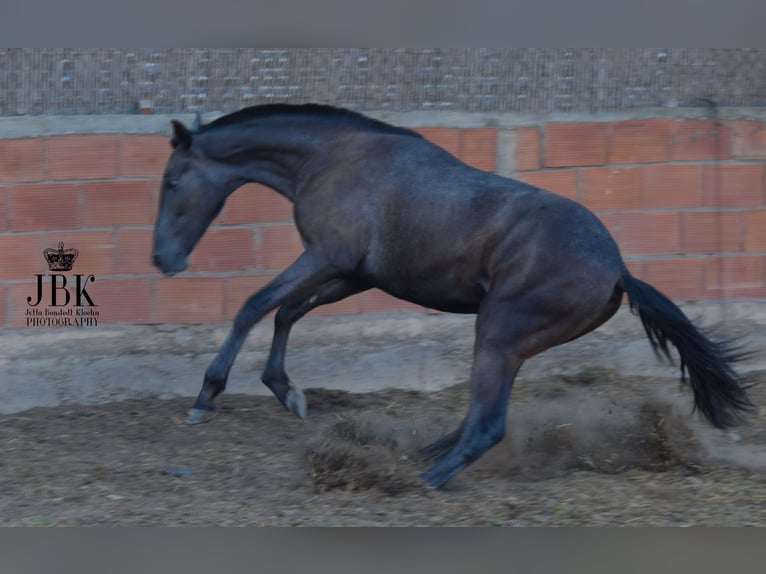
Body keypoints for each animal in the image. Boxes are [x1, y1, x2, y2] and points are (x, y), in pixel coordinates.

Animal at [153, 104, 752, 490]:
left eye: (172, 181)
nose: (163, 259)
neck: (335, 160)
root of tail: (619, 272)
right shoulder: (353, 274)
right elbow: (287, 311)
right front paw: (286, 391)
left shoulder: (327, 256)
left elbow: (255, 305)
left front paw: (207, 397)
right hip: (508, 343)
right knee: (476, 418)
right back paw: (420, 455)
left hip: (498, 335)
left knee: (487, 424)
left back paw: (420, 478)